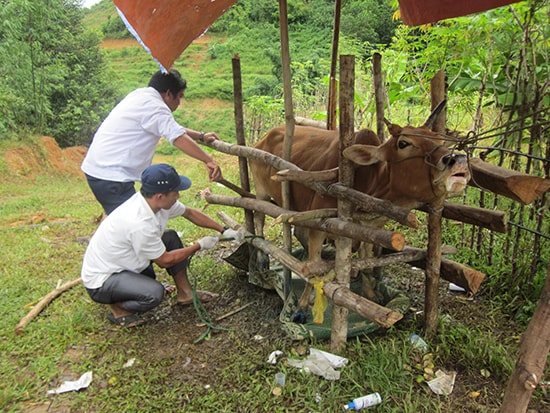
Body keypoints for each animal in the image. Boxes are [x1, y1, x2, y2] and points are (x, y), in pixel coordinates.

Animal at [250, 103, 470, 322]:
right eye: (403, 143)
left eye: (440, 140)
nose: (458, 159)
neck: (370, 182)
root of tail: (265, 136)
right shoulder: (320, 228)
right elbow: (312, 268)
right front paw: (302, 307)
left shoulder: (370, 229)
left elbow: (365, 261)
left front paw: (371, 294)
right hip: (262, 191)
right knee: (259, 216)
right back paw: (261, 260)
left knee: (298, 231)